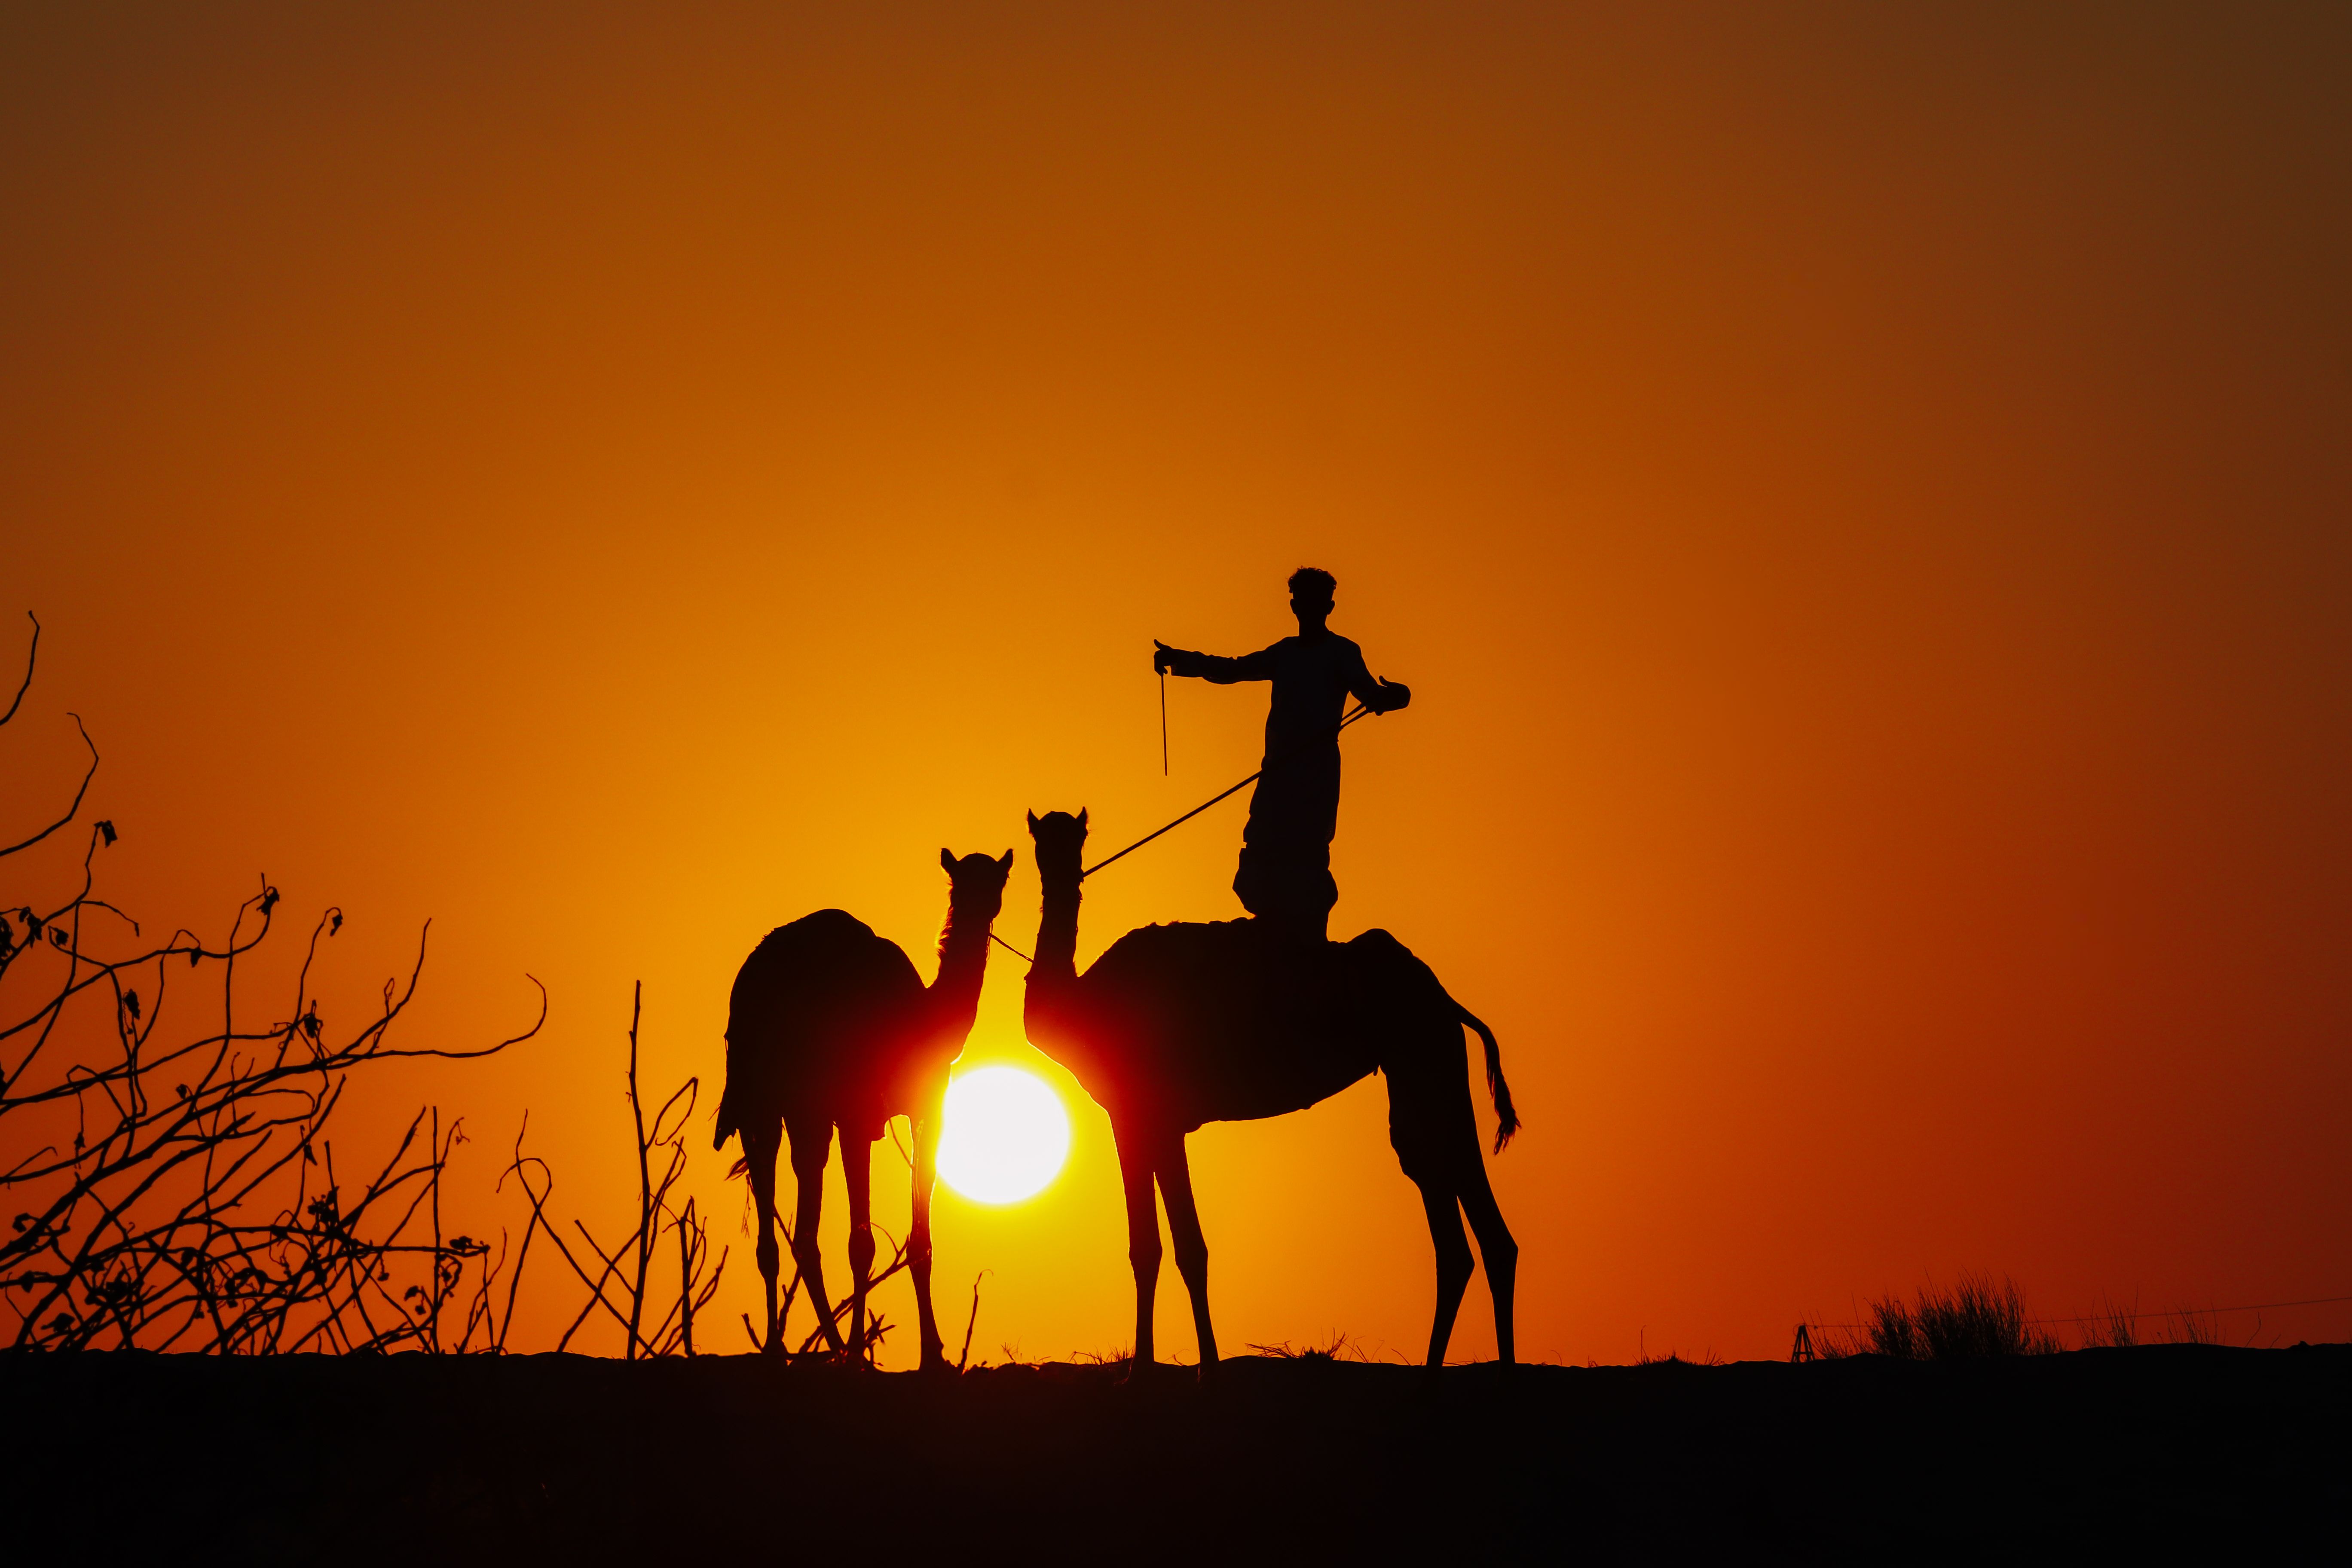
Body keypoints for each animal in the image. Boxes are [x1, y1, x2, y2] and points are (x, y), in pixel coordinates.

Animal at [715, 847, 1013, 1366]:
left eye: (995, 881)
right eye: (959, 882)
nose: (979, 905)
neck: (919, 1019)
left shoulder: (925, 1111)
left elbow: (920, 1241)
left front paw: (932, 1354)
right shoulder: (859, 1114)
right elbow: (863, 1243)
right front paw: (863, 1352)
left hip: (796, 1109)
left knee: (801, 1230)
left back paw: (813, 1345)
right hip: (772, 1101)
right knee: (784, 1223)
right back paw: (796, 1348)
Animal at [1021, 809, 1519, 1373]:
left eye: (1076, 836)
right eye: (1041, 838)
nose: (1059, 865)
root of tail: (1444, 997)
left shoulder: (1148, 1115)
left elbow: (1180, 1247)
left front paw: (1190, 1370)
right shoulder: (1143, 1119)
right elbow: (1153, 1247)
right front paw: (1156, 1369)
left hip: (1426, 1058)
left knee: (1455, 1205)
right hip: (1426, 1068)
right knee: (1460, 1210)